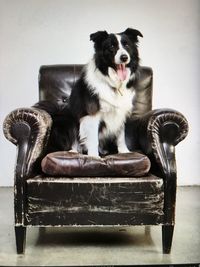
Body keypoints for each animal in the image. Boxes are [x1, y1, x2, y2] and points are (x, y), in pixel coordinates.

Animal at [69, 27, 143, 157]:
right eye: (111, 46)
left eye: (127, 45)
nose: (124, 57)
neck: (114, 84)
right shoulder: (92, 114)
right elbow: (93, 138)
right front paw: (94, 156)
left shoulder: (121, 112)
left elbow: (121, 136)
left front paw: (124, 152)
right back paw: (74, 151)